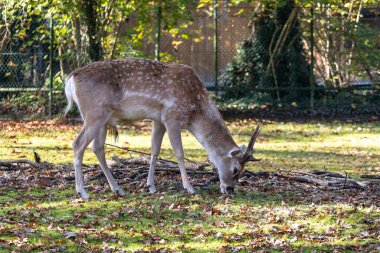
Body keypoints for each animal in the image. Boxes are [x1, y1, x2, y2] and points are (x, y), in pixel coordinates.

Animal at [65, 58, 262, 199]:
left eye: (242, 171)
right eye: (235, 169)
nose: (230, 189)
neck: (194, 110)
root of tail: (71, 78)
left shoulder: (158, 120)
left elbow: (154, 150)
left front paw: (151, 186)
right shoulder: (172, 116)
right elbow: (179, 153)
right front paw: (189, 187)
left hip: (103, 119)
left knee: (97, 148)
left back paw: (117, 189)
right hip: (94, 114)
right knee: (78, 144)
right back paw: (82, 192)